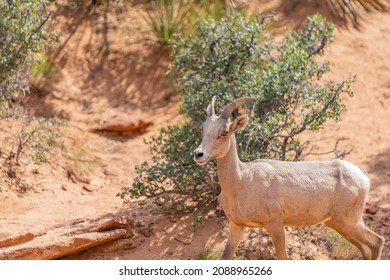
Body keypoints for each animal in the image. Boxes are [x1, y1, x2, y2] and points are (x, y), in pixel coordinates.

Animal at [192, 97, 384, 260]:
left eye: (224, 132)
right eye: (202, 128)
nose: (199, 154)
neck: (241, 182)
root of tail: (363, 176)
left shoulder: (275, 225)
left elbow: (282, 257)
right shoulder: (236, 226)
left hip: (349, 222)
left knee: (377, 242)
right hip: (338, 224)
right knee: (366, 249)